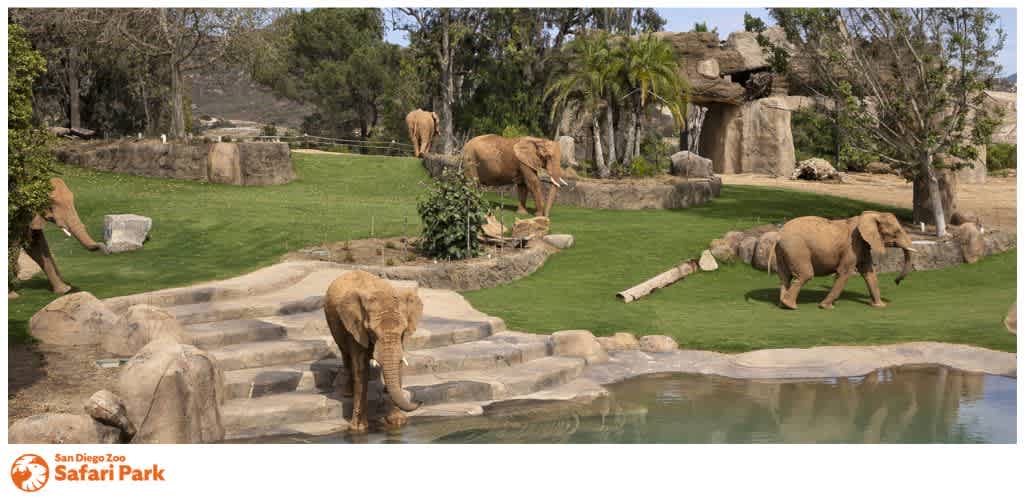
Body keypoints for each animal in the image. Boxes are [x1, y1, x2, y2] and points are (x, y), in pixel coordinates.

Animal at [323, 270, 423, 433]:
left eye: (403, 331)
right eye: (371, 332)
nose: (419, 401)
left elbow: (398, 364)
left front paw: (397, 423)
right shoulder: (356, 329)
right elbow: (360, 368)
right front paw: (358, 429)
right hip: (333, 323)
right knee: (345, 355)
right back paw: (348, 393)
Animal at [770, 211, 916, 310]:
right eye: (896, 232)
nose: (896, 281)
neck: (872, 215)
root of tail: (779, 235)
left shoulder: (863, 245)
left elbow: (868, 271)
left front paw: (880, 306)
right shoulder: (852, 245)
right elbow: (844, 272)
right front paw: (826, 307)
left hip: (784, 251)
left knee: (785, 276)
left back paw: (783, 304)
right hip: (796, 249)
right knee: (805, 275)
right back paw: (791, 306)